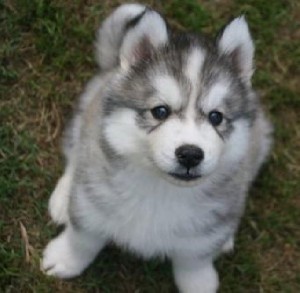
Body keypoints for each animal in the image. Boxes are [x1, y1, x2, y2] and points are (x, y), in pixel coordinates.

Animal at [42, 3, 272, 290]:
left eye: (216, 117)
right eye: (160, 111)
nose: (190, 154)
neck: (162, 190)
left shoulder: (202, 235)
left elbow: (194, 261)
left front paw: (200, 283)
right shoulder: (91, 204)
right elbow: (83, 238)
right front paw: (65, 258)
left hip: (259, 141)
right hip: (87, 116)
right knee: (76, 154)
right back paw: (63, 197)